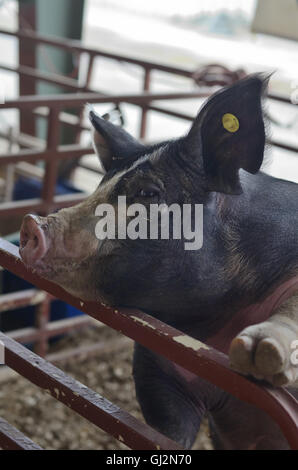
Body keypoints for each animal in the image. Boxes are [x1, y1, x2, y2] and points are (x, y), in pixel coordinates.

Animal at [19, 75, 298, 450]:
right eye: (101, 185)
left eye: (148, 193)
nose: (31, 223)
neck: (213, 323)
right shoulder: (159, 369)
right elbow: (165, 433)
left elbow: (291, 308)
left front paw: (256, 353)